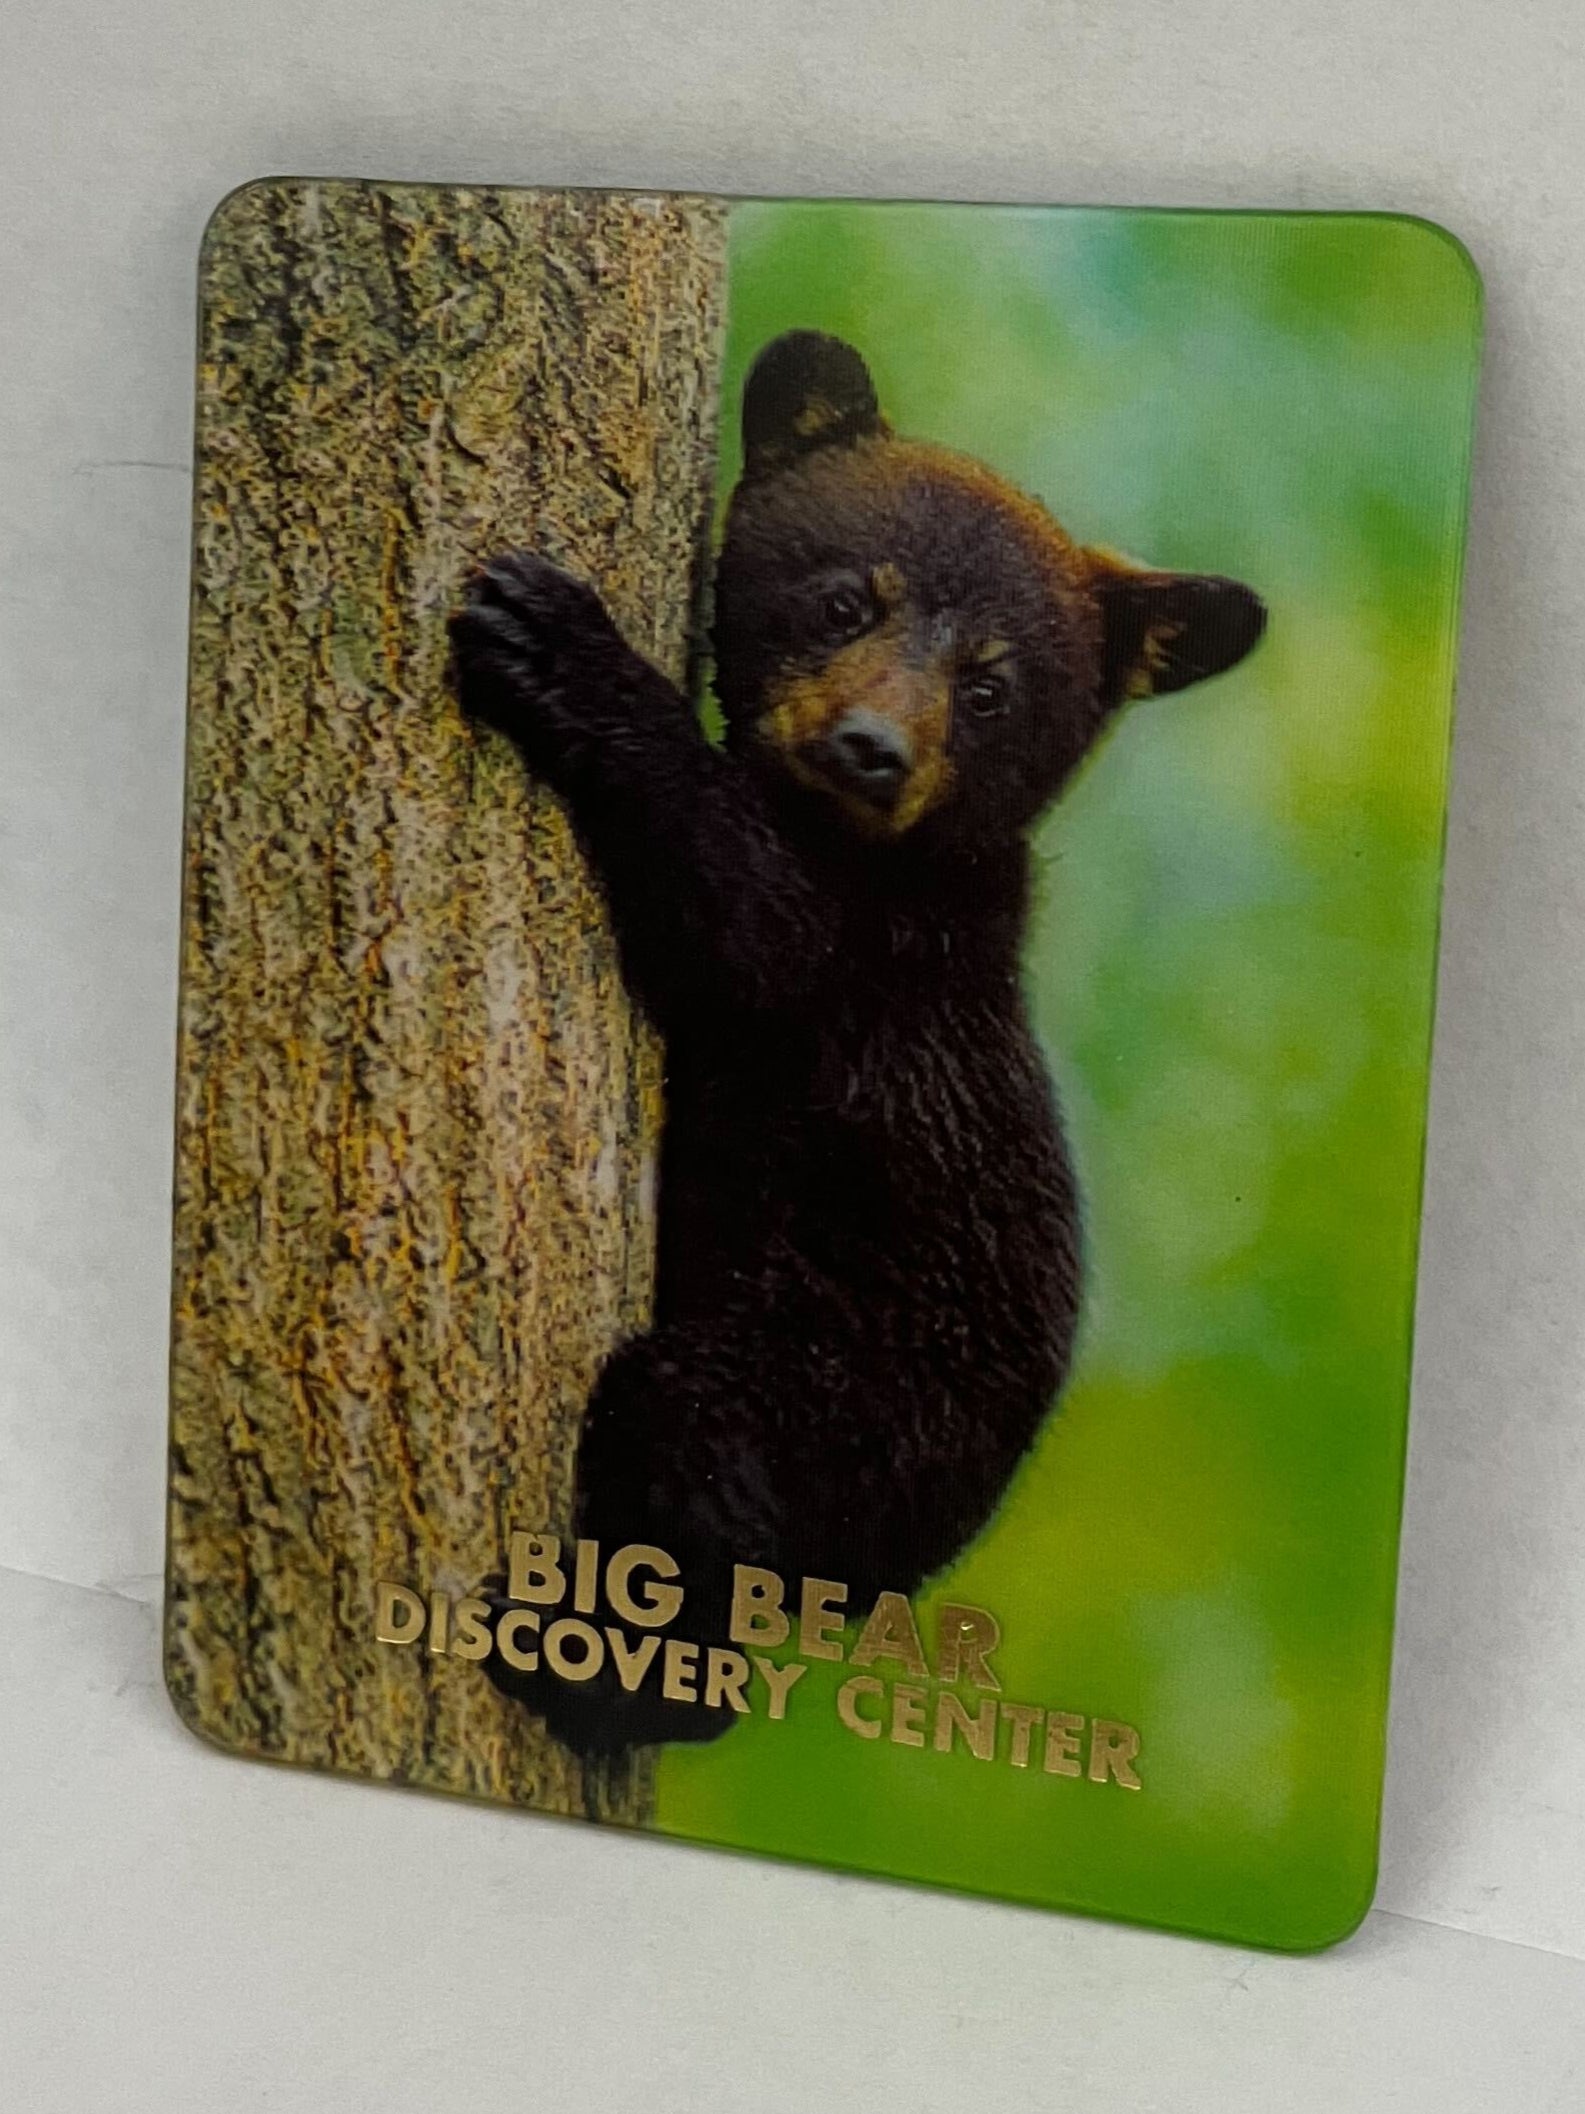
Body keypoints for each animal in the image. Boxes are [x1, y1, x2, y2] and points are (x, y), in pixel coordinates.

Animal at [447, 330, 1266, 1753]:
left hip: (810, 1394)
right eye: (842, 602)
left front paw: (554, 636)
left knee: (696, 1500)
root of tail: (912, 1566)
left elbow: (751, 925)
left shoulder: (870, 954)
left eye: (989, 687)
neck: (886, 854)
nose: (869, 748)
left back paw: (571, 1656)